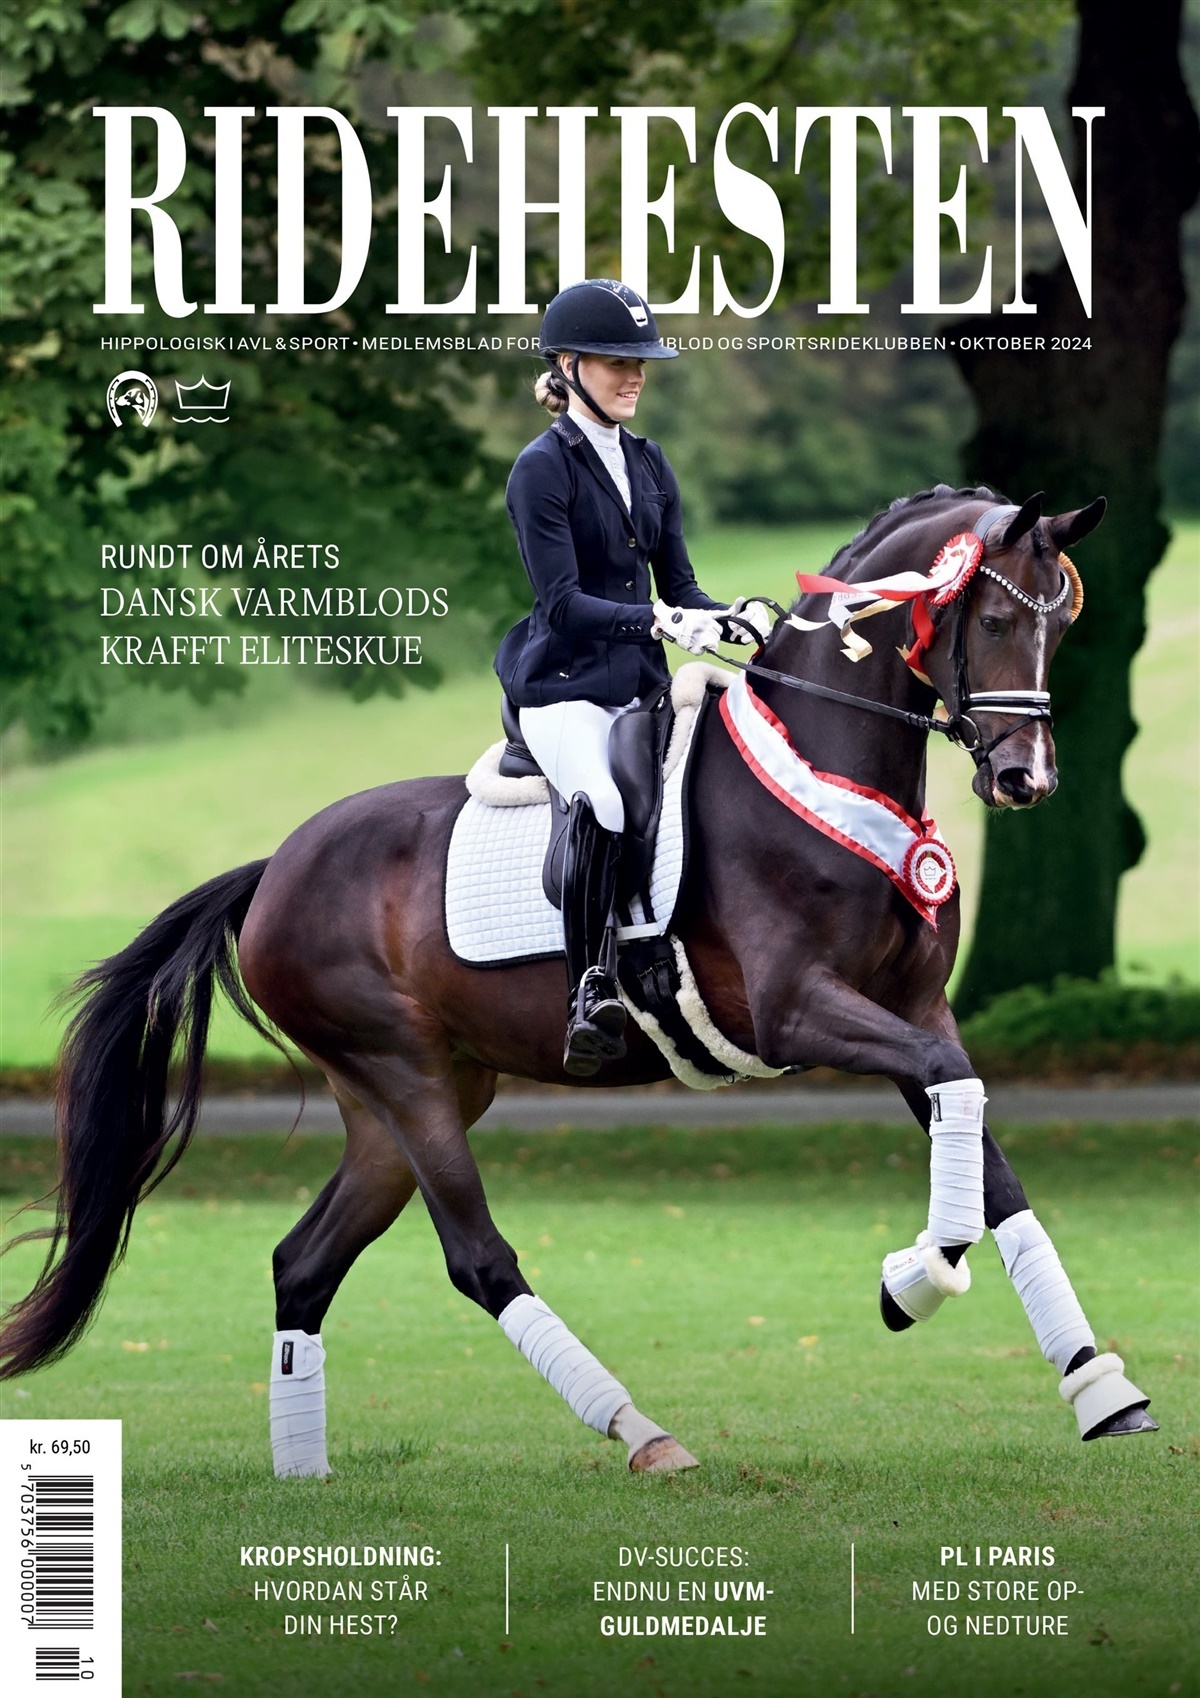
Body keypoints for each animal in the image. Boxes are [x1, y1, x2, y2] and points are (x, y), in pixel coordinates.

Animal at [1, 484, 1156, 1473]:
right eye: (994, 620)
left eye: (1063, 623)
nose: (1026, 779)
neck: (825, 765)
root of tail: (273, 870)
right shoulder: (798, 1014)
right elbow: (958, 1114)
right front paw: (911, 1282)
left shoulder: (916, 1009)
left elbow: (987, 1155)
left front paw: (1100, 1390)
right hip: (404, 1076)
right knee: (478, 1261)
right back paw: (641, 1432)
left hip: (402, 1098)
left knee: (303, 1262)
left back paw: (304, 1476)